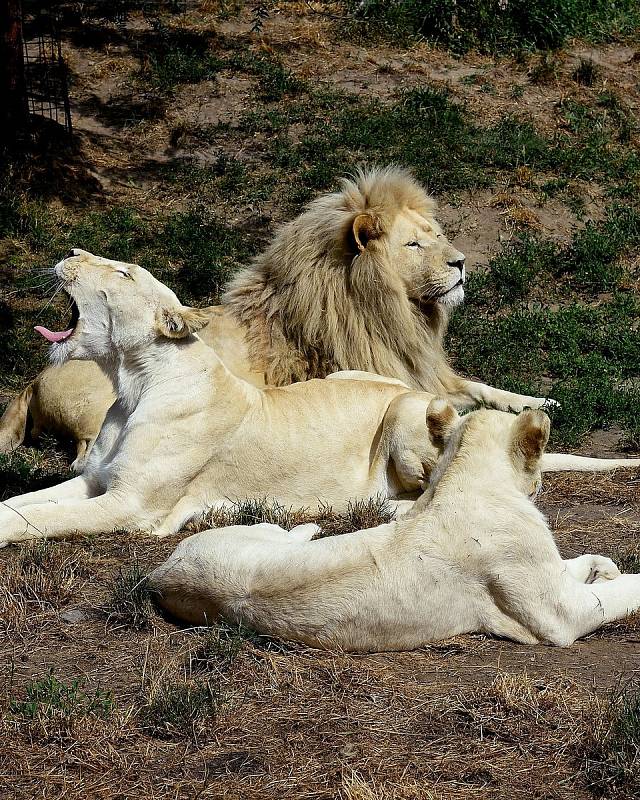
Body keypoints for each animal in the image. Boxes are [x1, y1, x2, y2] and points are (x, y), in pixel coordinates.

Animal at [0, 169, 556, 468]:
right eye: (414, 245)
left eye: (435, 234)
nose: (461, 263)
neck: (399, 315)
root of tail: (33, 378)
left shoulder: (428, 370)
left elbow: (487, 388)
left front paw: (540, 400)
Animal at [0, 252, 636, 552]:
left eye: (123, 271)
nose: (70, 252)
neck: (130, 383)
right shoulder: (95, 481)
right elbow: (26, 502)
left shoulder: (129, 507)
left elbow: (39, 519)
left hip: (408, 415)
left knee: (440, 488)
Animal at [150, 404, 640, 652]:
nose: (538, 485)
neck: (462, 476)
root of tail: (160, 572)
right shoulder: (557, 614)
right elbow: (615, 595)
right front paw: (617, 576)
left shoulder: (548, 576)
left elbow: (577, 565)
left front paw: (602, 566)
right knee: (288, 529)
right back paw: (313, 525)